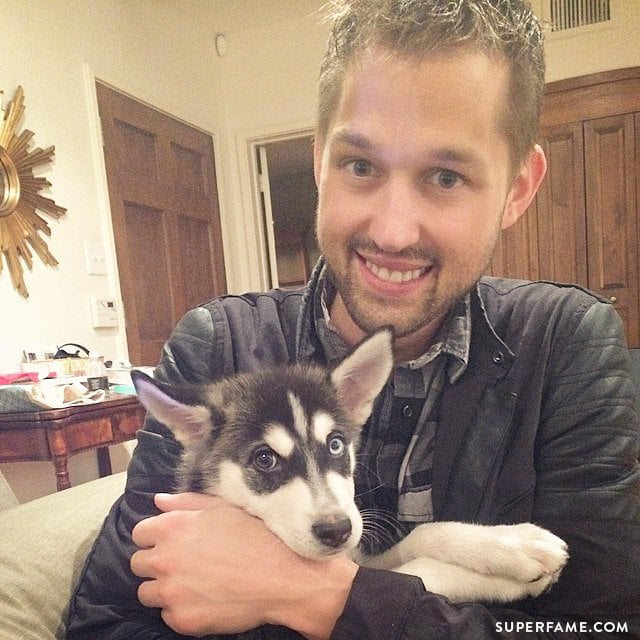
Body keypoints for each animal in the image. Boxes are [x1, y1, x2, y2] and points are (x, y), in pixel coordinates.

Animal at [132, 330, 568, 604]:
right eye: (264, 459)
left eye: (336, 444)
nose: (336, 531)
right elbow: (418, 573)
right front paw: (502, 577)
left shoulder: (359, 556)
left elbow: (422, 536)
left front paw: (514, 543)